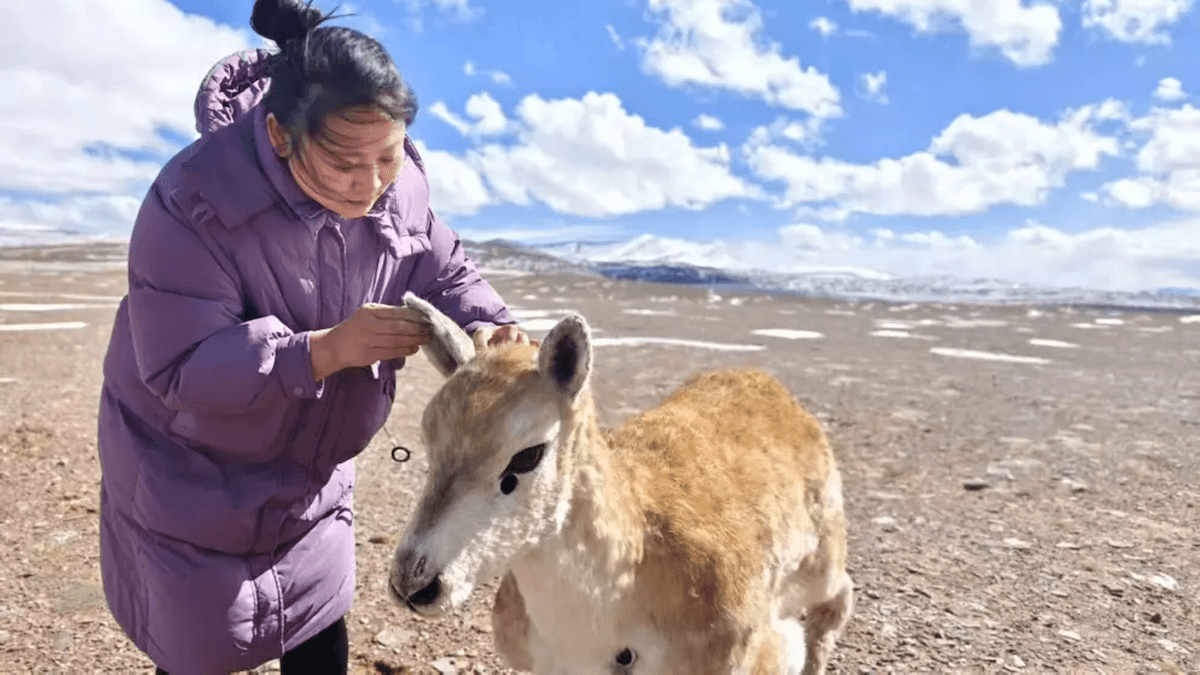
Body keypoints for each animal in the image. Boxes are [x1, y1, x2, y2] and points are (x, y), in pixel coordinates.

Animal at [389, 292, 853, 674]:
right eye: (428, 436)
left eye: (527, 454)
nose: (413, 583)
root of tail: (768, 386)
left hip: (822, 564)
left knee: (838, 599)